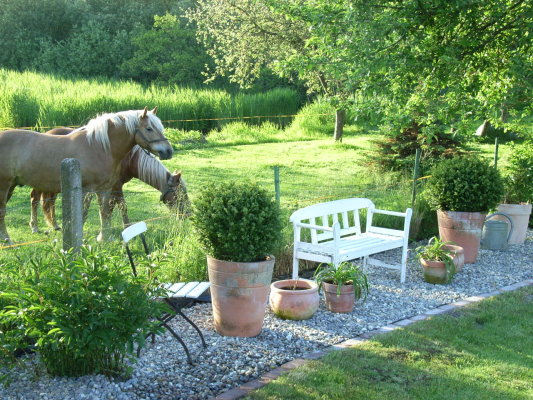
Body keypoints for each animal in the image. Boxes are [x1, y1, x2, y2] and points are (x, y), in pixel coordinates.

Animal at [0, 107, 171, 244]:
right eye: (149, 128)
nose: (168, 151)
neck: (98, 147)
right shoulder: (85, 190)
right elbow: (82, 214)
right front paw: (78, 238)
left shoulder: (105, 189)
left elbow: (105, 213)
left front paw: (104, 238)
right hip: (5, 185)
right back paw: (7, 239)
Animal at [29, 128, 189, 233]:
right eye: (180, 195)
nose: (188, 215)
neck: (129, 158)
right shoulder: (115, 186)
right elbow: (120, 206)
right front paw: (123, 227)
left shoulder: (113, 187)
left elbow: (112, 207)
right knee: (35, 199)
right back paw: (35, 226)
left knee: (50, 202)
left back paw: (55, 225)